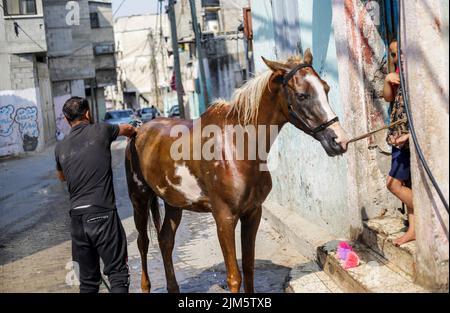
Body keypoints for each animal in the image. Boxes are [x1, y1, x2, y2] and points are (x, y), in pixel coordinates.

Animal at [125, 50, 350, 294]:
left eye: (326, 88)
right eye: (301, 96)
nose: (339, 140)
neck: (237, 145)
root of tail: (138, 130)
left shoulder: (252, 213)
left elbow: (249, 268)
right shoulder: (224, 218)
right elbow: (234, 276)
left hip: (174, 203)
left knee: (166, 240)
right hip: (139, 199)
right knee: (143, 242)